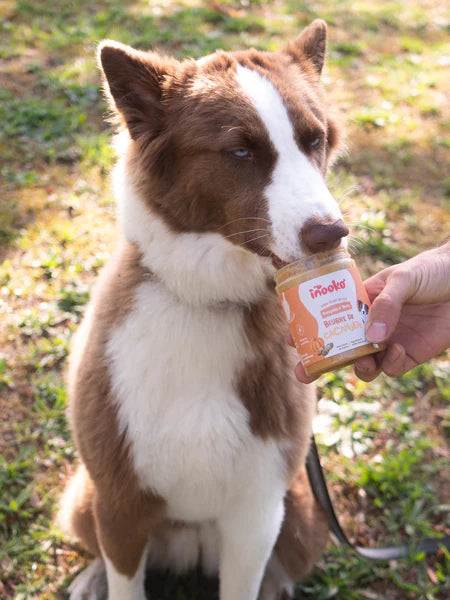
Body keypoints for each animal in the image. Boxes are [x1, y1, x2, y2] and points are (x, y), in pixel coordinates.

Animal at [58, 18, 350, 600]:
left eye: (315, 141)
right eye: (239, 151)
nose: (333, 233)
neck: (206, 301)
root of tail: (189, 541)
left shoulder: (257, 514)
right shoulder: (118, 500)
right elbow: (125, 579)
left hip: (303, 516)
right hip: (85, 497)